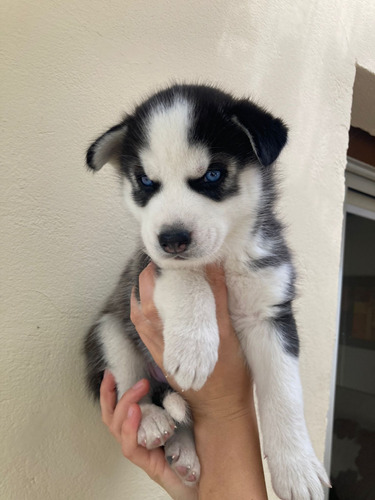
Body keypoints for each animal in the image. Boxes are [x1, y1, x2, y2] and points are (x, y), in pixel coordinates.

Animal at [84, 84, 328, 498]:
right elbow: (188, 277)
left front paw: (297, 468)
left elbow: (285, 393)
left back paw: (183, 452)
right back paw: (150, 420)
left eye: (212, 174)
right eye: (145, 182)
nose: (172, 240)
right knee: (130, 384)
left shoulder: (271, 312)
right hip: (109, 330)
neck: (225, 257)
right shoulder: (146, 267)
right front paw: (193, 349)